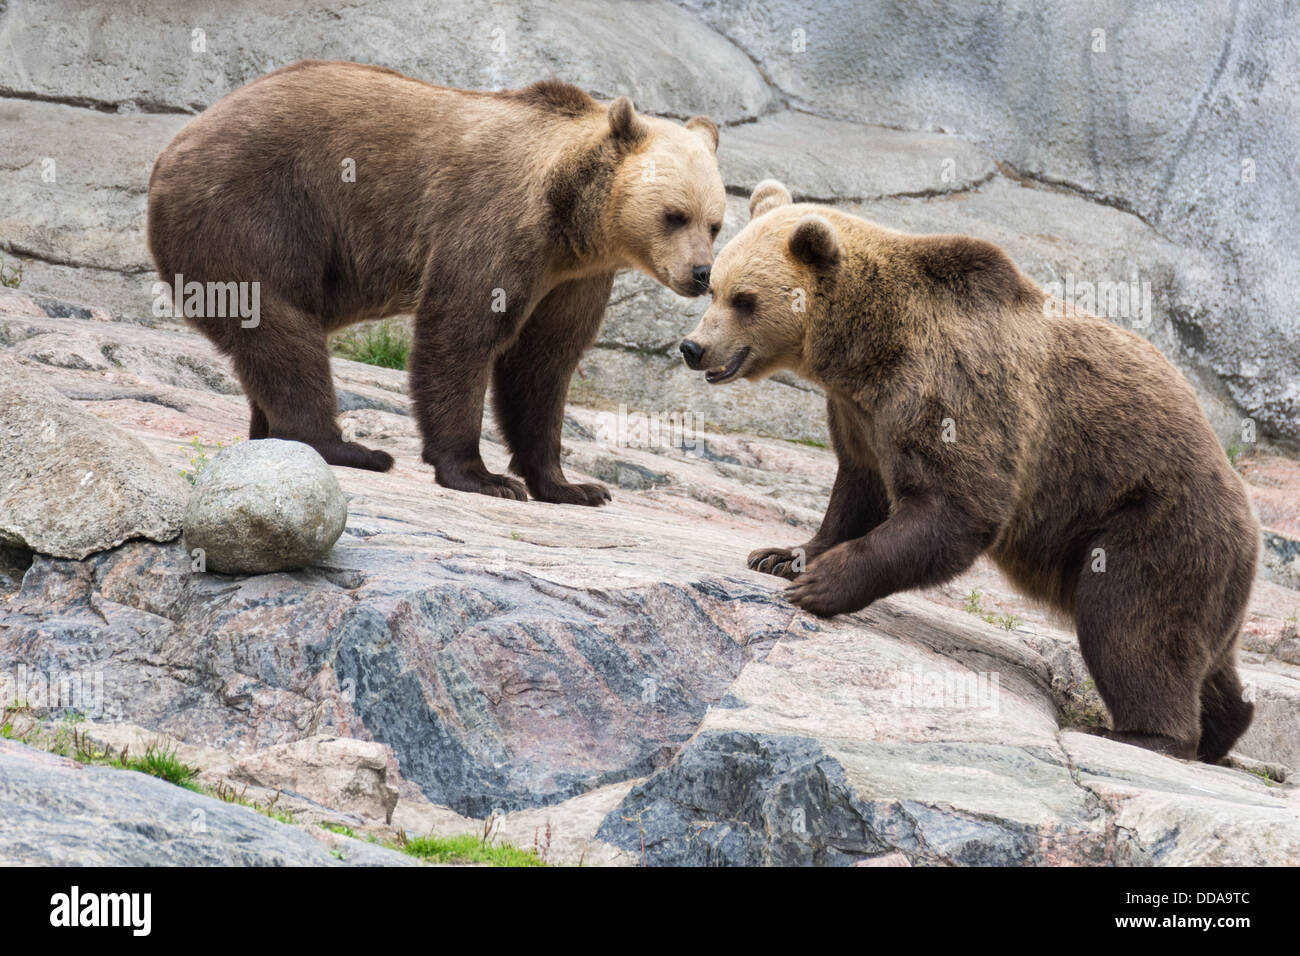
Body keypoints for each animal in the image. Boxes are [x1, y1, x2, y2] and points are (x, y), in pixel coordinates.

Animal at [149, 57, 733, 509]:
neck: (572, 215)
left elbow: (543, 364)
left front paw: (573, 486)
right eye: (674, 216)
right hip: (252, 211)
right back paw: (348, 447)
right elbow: (461, 332)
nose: (701, 273)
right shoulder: (495, 221)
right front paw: (482, 476)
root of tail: (177, 143)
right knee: (281, 324)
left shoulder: (575, 277)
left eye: (715, 223)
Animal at [681, 178, 1258, 764]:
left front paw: (821, 583)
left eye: (744, 299)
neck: (863, 352)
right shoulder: (859, 414)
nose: (692, 347)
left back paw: (1145, 734)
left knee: (1130, 619)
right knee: (1202, 652)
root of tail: (1246, 512)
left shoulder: (952, 387)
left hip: (1149, 517)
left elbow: (956, 505)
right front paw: (781, 556)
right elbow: (858, 489)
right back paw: (1224, 726)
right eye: (713, 288)